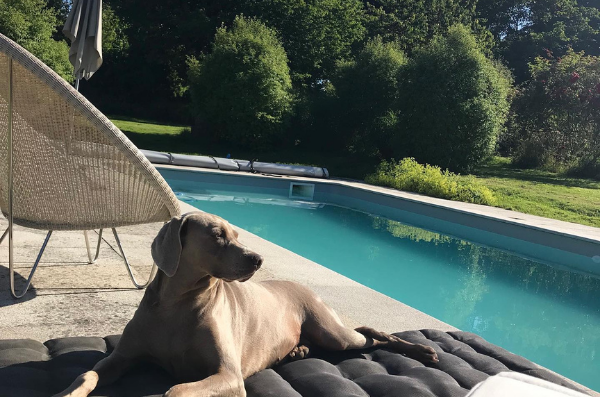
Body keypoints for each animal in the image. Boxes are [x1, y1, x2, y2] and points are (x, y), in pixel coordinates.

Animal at [55, 212, 440, 394]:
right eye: (217, 235)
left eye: (238, 235)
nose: (258, 259)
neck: (178, 304)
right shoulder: (122, 357)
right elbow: (88, 372)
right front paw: (67, 392)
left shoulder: (228, 375)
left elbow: (176, 390)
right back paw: (297, 350)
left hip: (334, 333)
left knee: (373, 334)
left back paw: (424, 351)